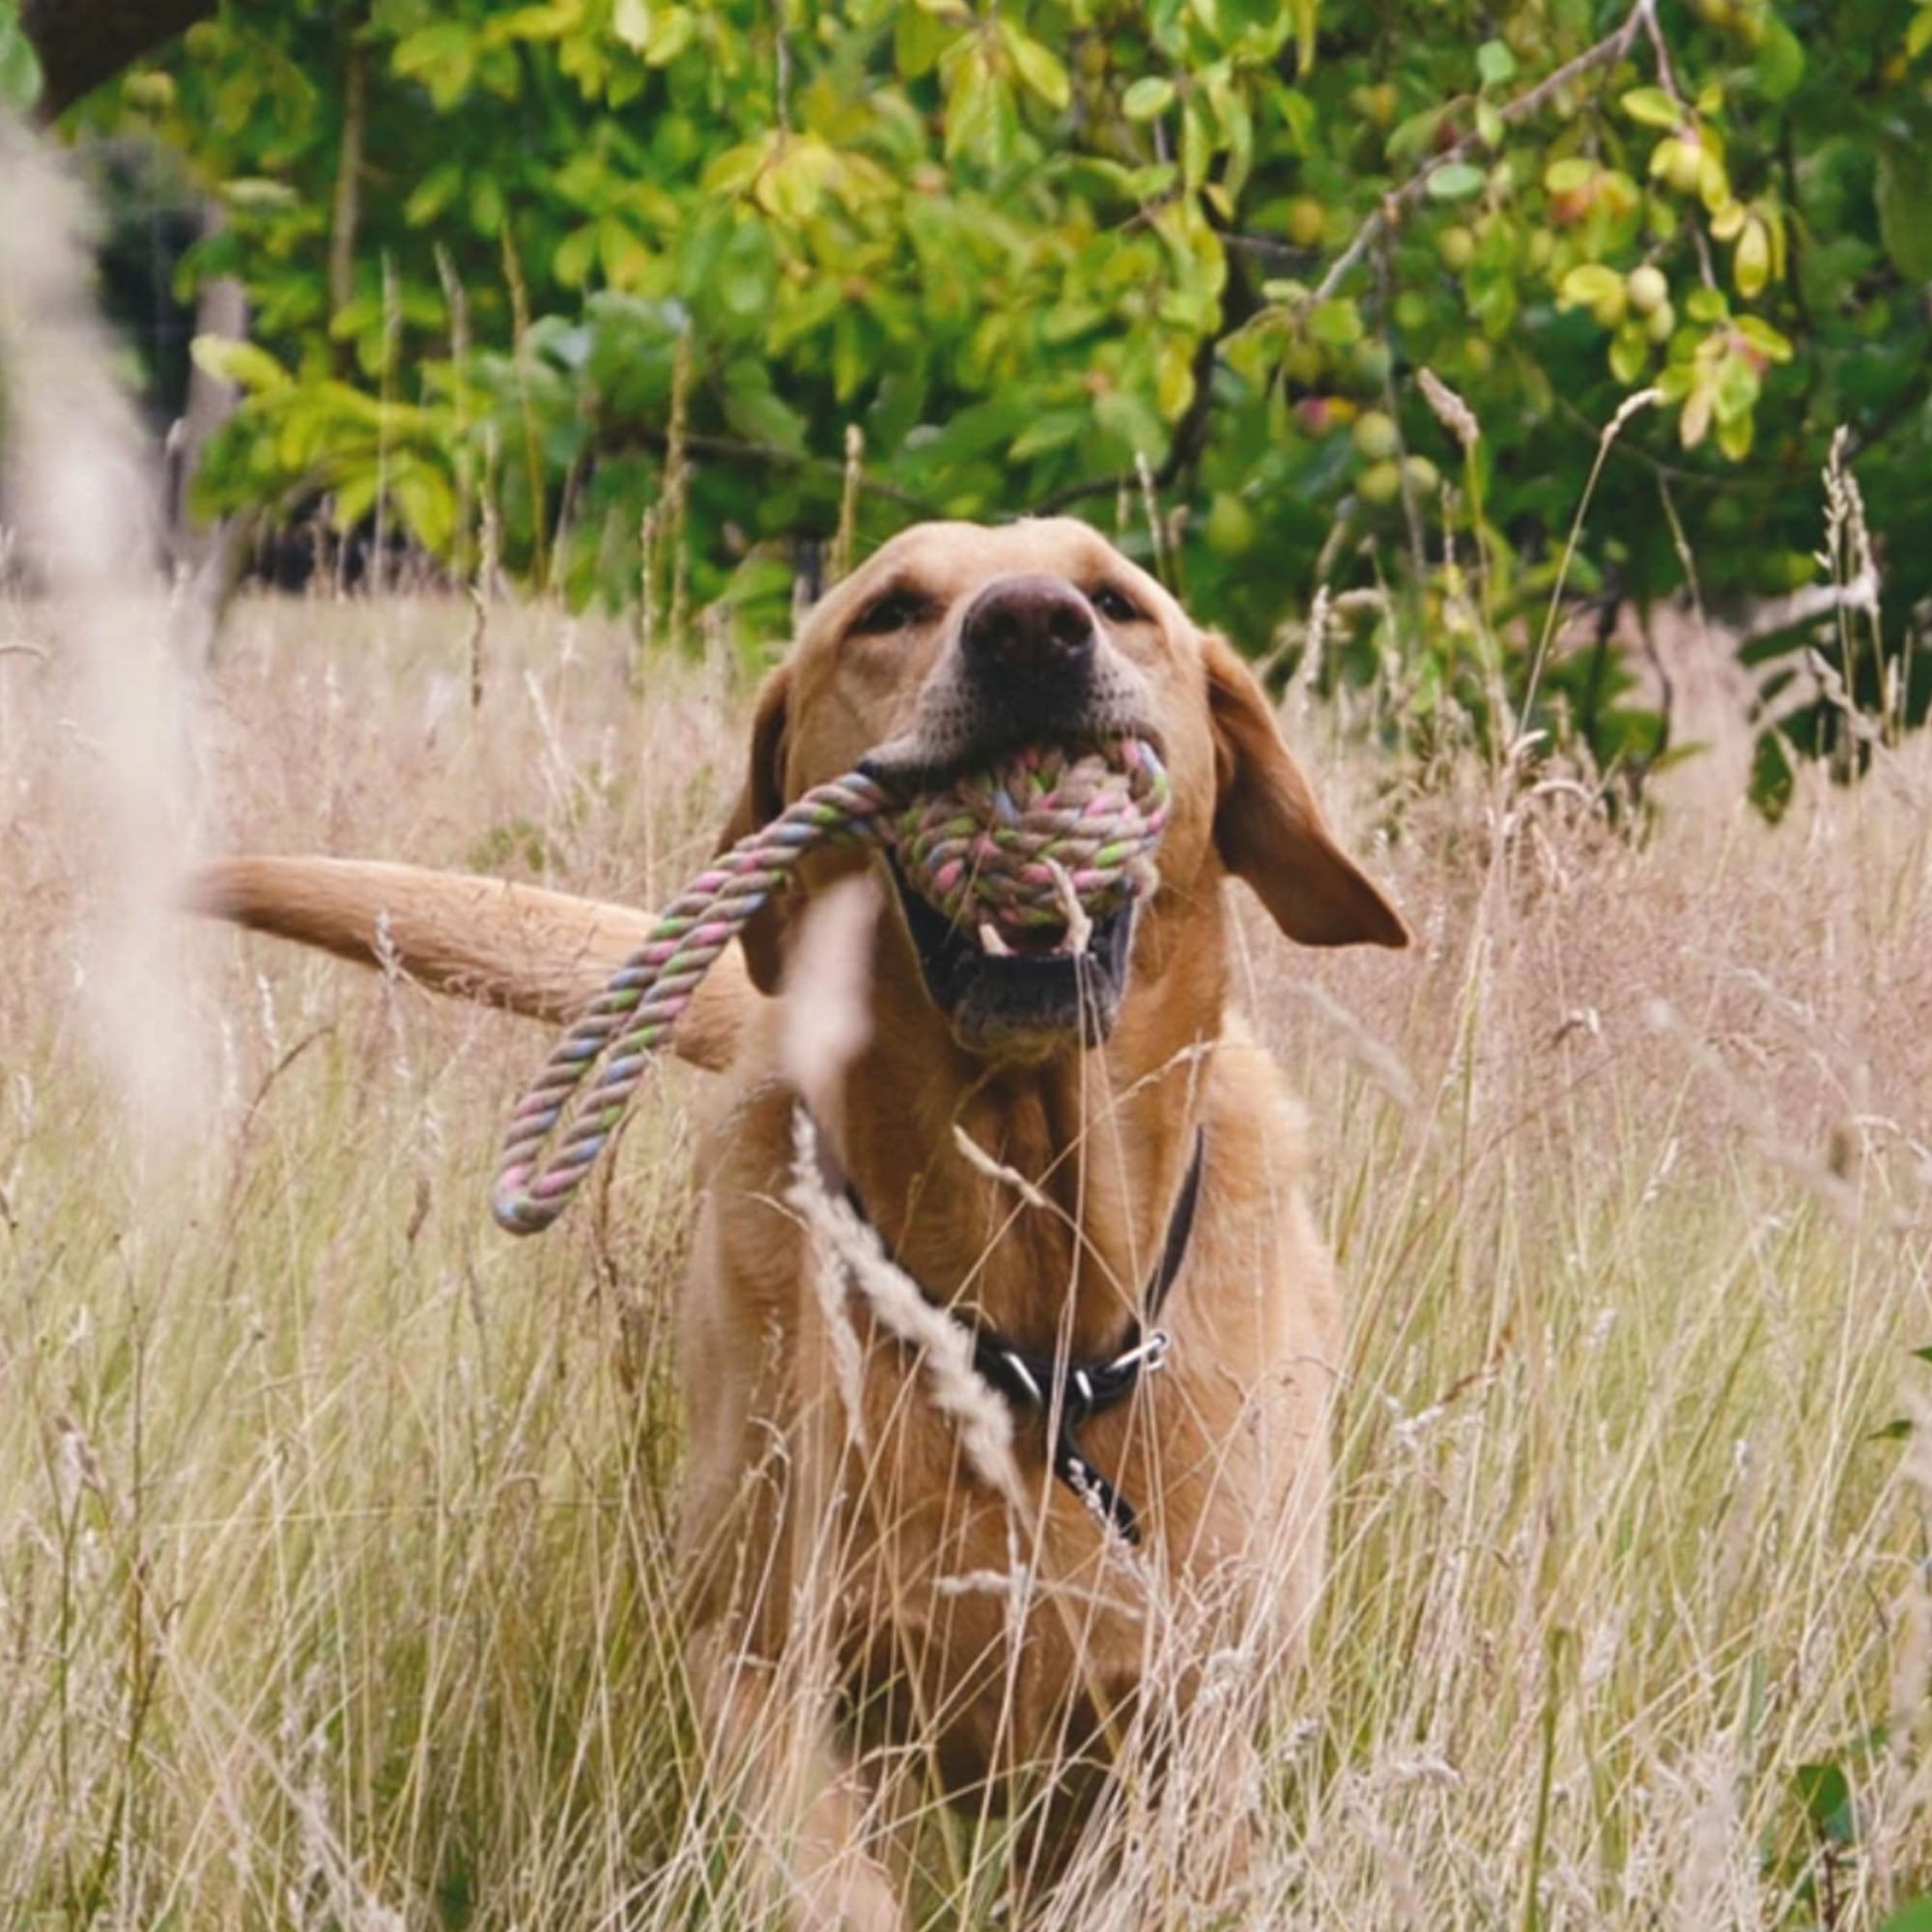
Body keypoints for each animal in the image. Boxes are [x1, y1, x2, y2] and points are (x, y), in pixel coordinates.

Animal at [196, 522, 1406, 1924]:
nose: (1031, 630)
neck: (1019, 1312)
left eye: (1115, 601)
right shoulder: (767, 1666)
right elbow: (823, 1880)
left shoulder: (1196, 1717)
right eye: (891, 611)